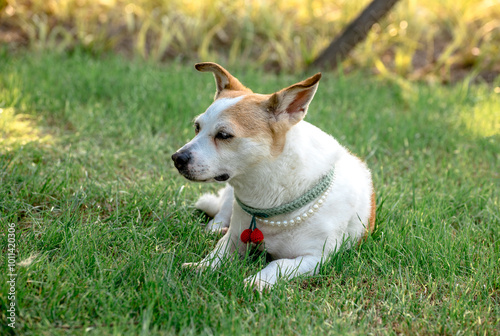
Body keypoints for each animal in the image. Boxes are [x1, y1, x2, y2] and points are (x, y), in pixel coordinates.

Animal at [173, 63, 376, 292]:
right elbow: (218, 252)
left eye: (224, 135)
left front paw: (257, 281)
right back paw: (215, 228)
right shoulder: (233, 239)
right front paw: (203, 266)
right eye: (197, 127)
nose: (177, 158)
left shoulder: (314, 258)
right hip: (228, 200)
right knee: (220, 215)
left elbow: (279, 264)